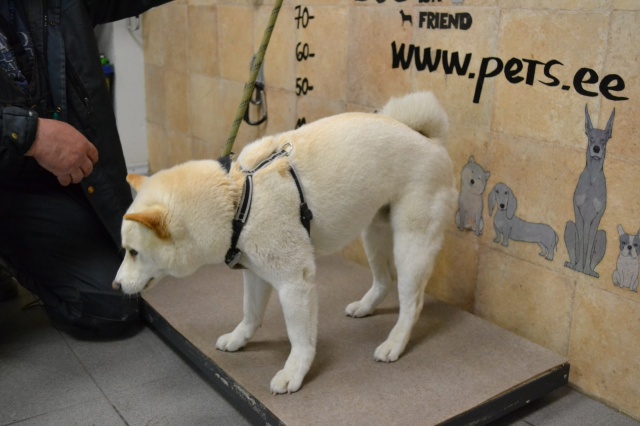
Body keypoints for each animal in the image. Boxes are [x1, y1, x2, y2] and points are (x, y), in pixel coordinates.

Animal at [113, 92, 457, 394]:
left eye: (133, 252)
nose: (115, 286)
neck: (237, 198)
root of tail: (427, 139)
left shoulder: (295, 282)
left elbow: (300, 338)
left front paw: (295, 372)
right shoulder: (254, 272)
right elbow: (251, 314)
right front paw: (239, 338)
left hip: (411, 244)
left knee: (412, 303)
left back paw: (394, 343)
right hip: (373, 233)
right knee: (384, 281)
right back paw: (365, 306)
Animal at [564, 105, 615, 278]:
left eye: (603, 140)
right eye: (591, 138)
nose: (596, 148)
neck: (592, 179)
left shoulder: (597, 217)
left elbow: (589, 244)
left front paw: (585, 269)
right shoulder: (578, 212)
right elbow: (581, 243)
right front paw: (579, 267)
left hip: (603, 235)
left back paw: (591, 272)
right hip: (569, 226)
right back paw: (572, 265)